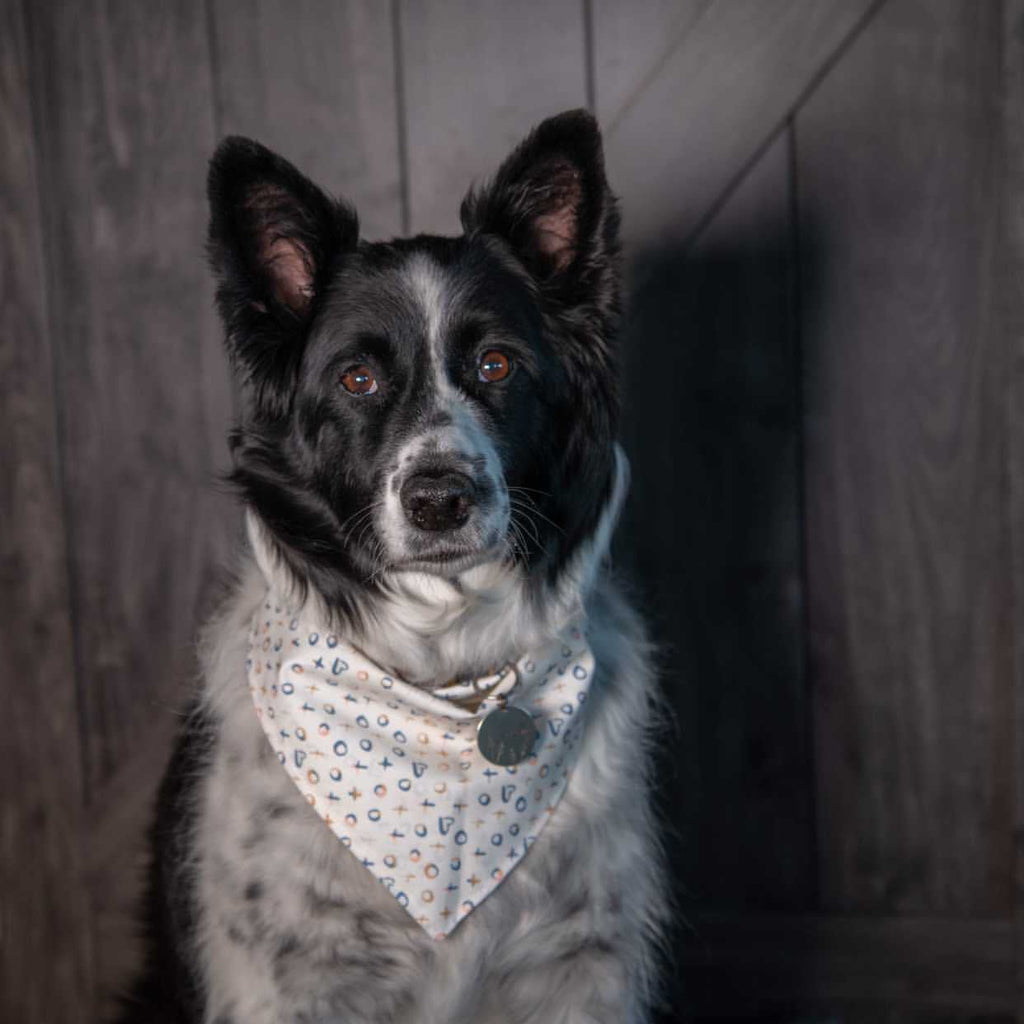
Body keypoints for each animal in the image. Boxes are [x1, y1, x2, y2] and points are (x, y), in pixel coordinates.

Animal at [117, 110, 663, 1024]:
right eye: (358, 378)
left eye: (496, 365)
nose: (440, 498)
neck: (445, 684)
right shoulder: (285, 985)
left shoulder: (579, 970)